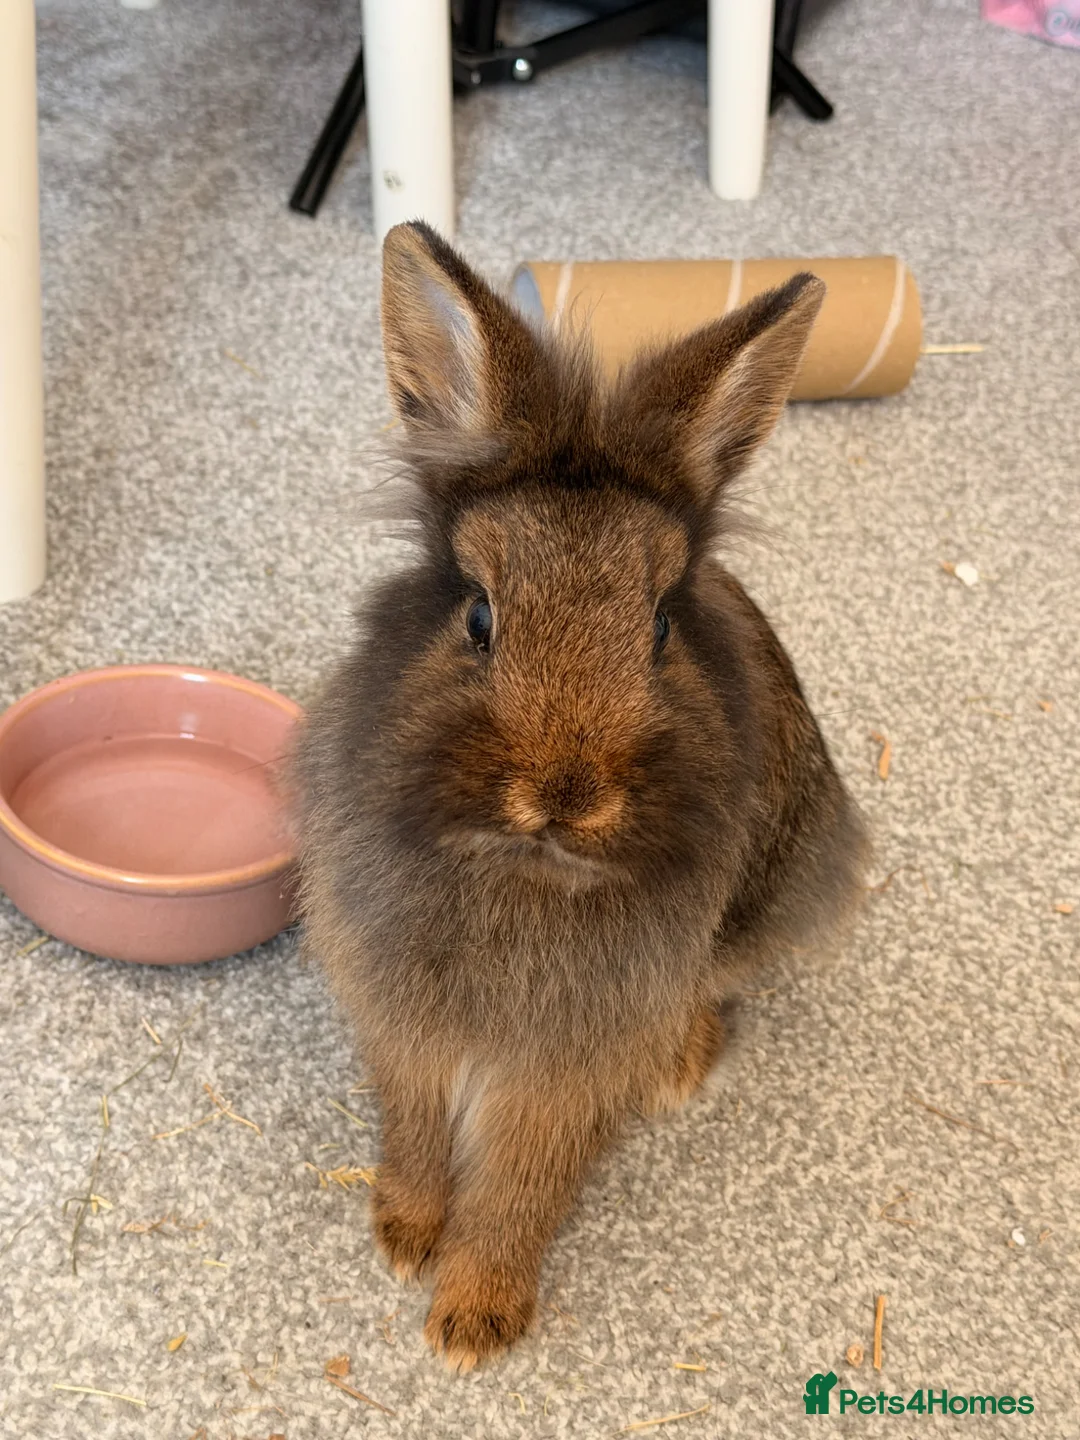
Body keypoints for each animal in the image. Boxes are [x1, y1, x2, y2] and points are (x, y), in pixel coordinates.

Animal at [292, 221, 868, 1373]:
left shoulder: (566, 1064)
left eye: (659, 627)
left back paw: (679, 1067)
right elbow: (416, 1132)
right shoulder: (405, 1019)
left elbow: (523, 1184)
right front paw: (403, 1236)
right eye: (477, 616)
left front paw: (472, 1322)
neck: (523, 866)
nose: (565, 792)